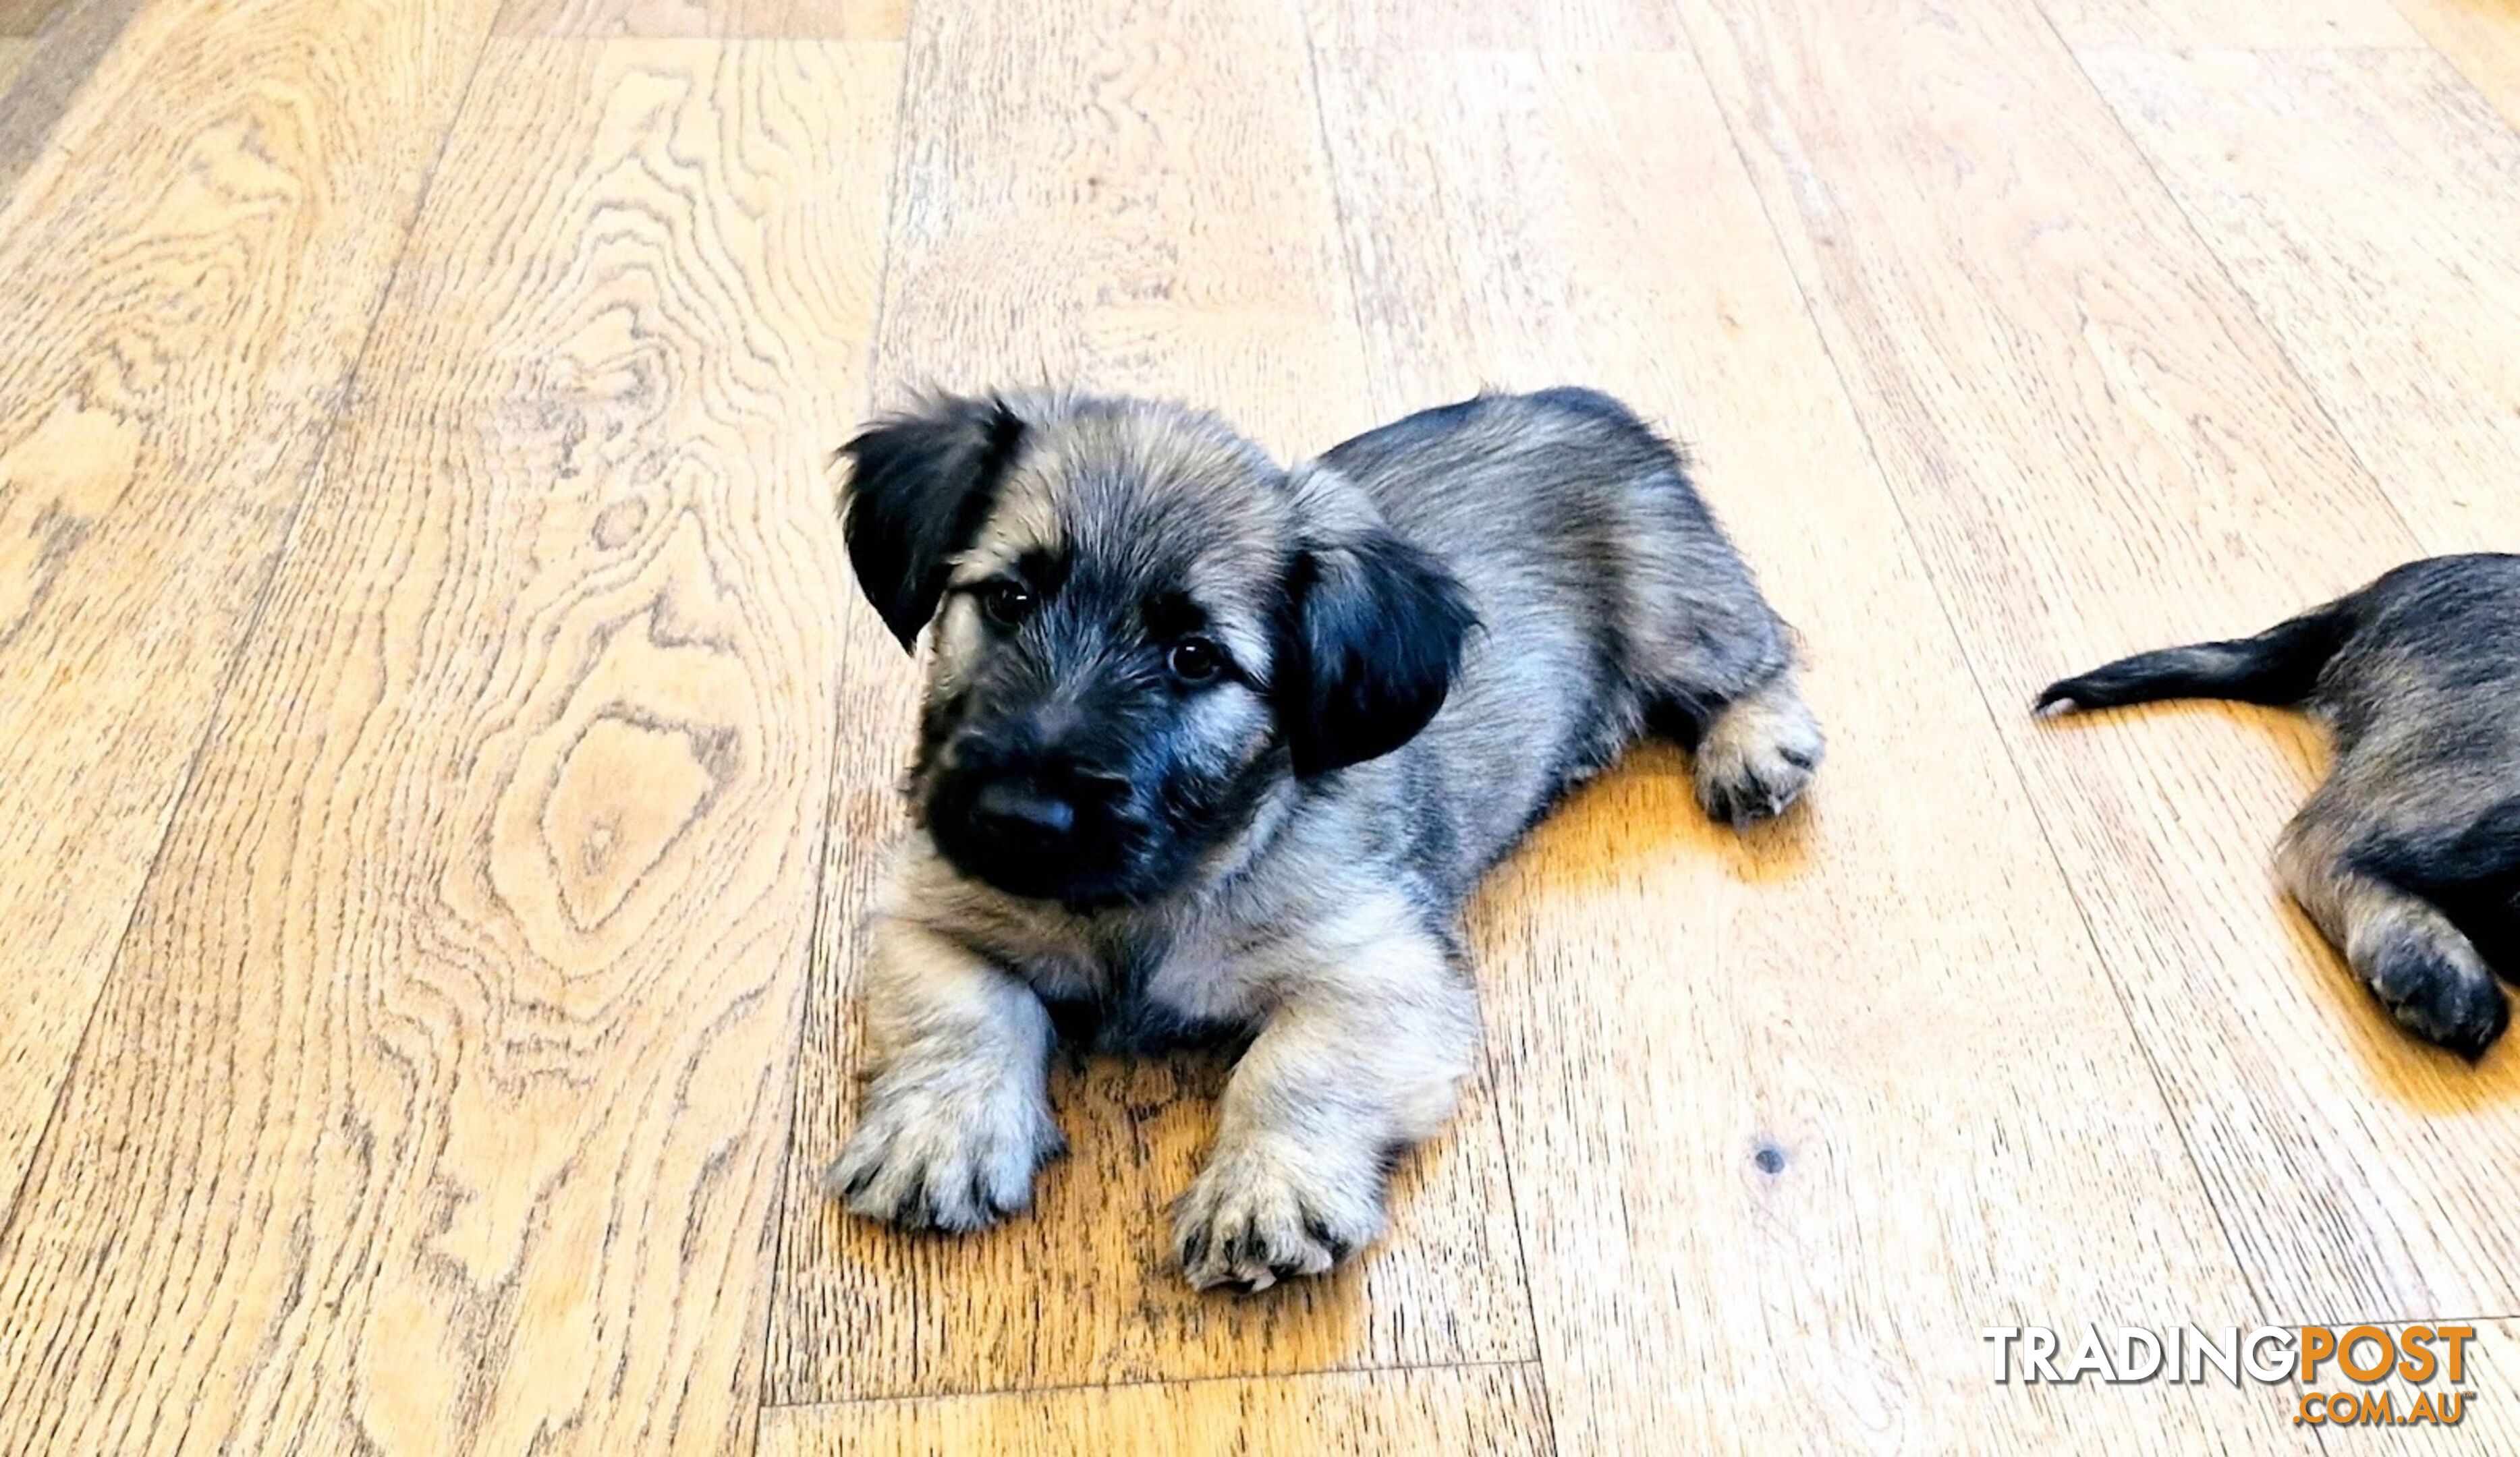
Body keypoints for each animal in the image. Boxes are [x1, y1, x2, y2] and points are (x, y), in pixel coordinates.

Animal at [831, 385, 1835, 1280]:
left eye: (1194, 658)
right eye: (1008, 600)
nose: (1018, 819)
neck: (1154, 891)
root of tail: (1591, 407)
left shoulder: (1380, 968)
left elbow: (1294, 1067)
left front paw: (1266, 1191)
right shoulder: (926, 911)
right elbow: (961, 1010)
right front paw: (938, 1135)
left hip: (1679, 612)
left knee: (1756, 655)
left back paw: (1755, 745)